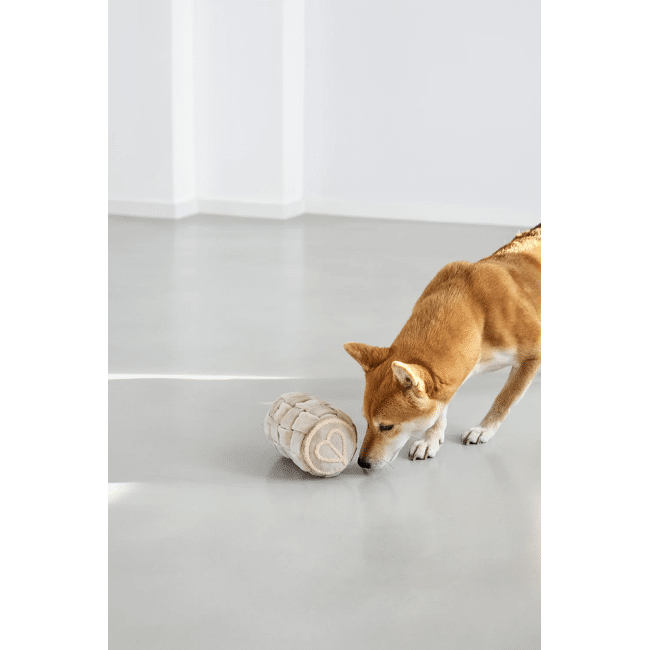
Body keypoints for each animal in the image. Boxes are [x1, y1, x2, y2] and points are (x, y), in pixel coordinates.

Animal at [344, 224, 541, 470]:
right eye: (366, 420)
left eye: (386, 426)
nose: (362, 462)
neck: (476, 311)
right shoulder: (447, 380)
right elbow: (439, 410)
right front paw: (431, 440)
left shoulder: (531, 358)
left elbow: (504, 399)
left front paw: (483, 429)